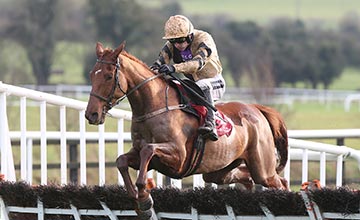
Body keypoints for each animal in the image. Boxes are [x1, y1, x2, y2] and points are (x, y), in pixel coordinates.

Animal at [85, 40, 290, 214]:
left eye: (108, 76)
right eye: (91, 75)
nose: (91, 114)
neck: (154, 106)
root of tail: (257, 109)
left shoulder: (178, 157)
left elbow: (148, 151)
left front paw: (144, 197)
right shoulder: (143, 154)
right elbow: (122, 161)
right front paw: (138, 199)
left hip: (263, 170)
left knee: (280, 182)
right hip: (220, 171)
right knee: (247, 178)